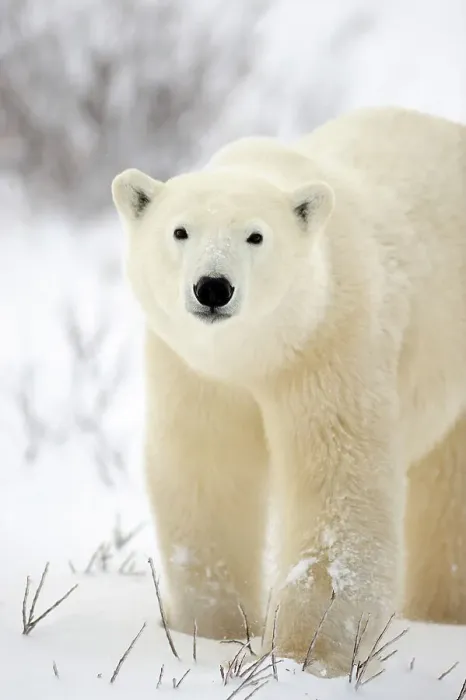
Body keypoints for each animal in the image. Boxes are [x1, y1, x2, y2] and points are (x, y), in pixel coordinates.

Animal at [111, 106, 466, 678]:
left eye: (256, 236)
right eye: (180, 230)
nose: (213, 287)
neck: (258, 354)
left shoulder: (330, 343)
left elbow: (336, 486)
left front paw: (306, 653)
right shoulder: (196, 372)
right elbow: (208, 474)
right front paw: (212, 631)